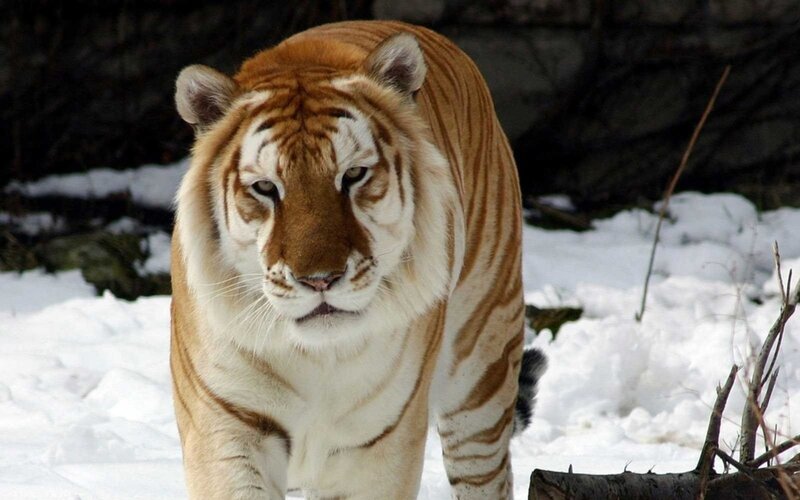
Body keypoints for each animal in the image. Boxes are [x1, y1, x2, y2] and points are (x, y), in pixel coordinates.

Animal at [170, 19, 546, 500]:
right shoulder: (228, 425)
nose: (319, 279)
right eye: (266, 188)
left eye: (353, 175)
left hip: (483, 367)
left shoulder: (381, 442)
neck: (316, 356)